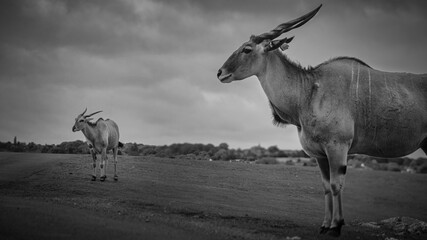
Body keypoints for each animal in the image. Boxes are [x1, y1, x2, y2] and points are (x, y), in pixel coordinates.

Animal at [217, 4, 427, 237]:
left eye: (247, 49)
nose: (220, 73)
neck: (309, 91)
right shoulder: (320, 154)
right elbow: (326, 186)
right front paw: (325, 225)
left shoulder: (338, 147)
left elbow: (336, 185)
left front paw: (336, 226)